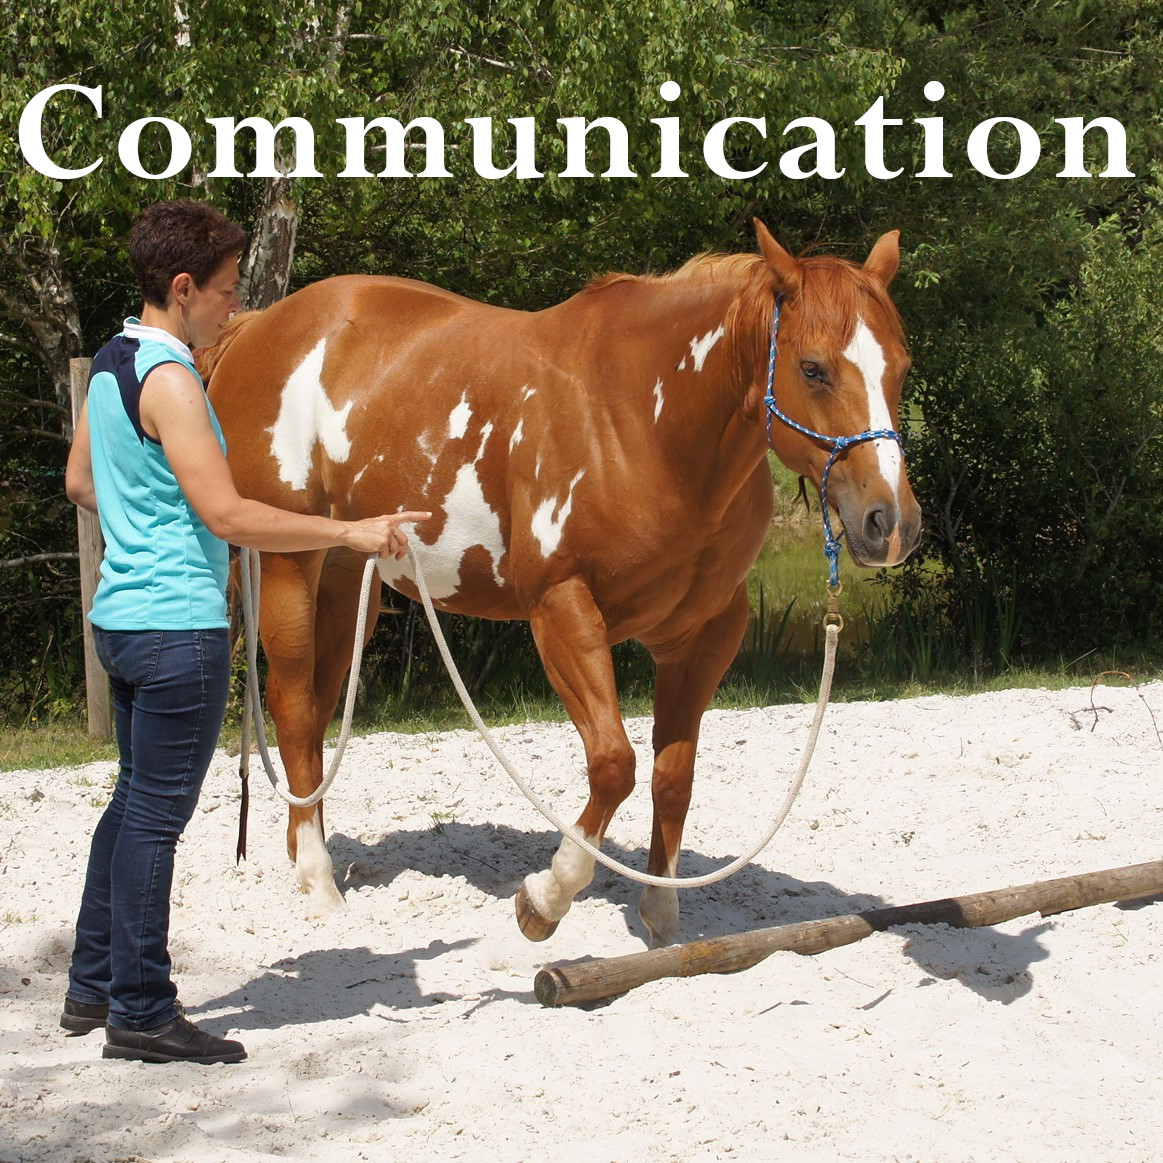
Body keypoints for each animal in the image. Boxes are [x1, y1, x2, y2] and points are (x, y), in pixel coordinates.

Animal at [200, 219, 921, 947]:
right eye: (812, 368)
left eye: (901, 366)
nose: (889, 523)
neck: (645, 424)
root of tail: (257, 328)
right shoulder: (562, 610)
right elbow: (613, 763)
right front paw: (546, 896)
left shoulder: (703, 634)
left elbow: (673, 774)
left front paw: (660, 913)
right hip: (291, 564)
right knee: (294, 709)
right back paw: (319, 882)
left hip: (351, 577)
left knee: (319, 715)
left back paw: (306, 849)